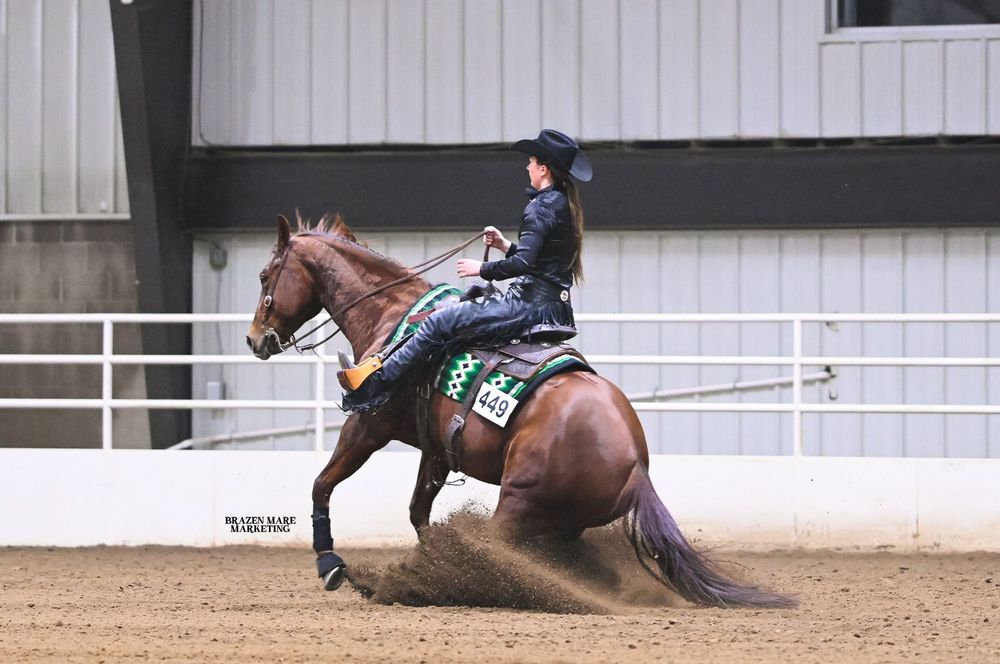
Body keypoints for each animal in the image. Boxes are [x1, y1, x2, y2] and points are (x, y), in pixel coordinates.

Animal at [245, 214, 795, 609]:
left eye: (265, 275)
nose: (254, 340)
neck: (392, 318)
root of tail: (635, 466)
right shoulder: (436, 452)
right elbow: (419, 511)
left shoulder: (368, 425)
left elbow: (322, 483)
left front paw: (331, 564)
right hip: (559, 523)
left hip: (517, 504)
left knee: (499, 552)